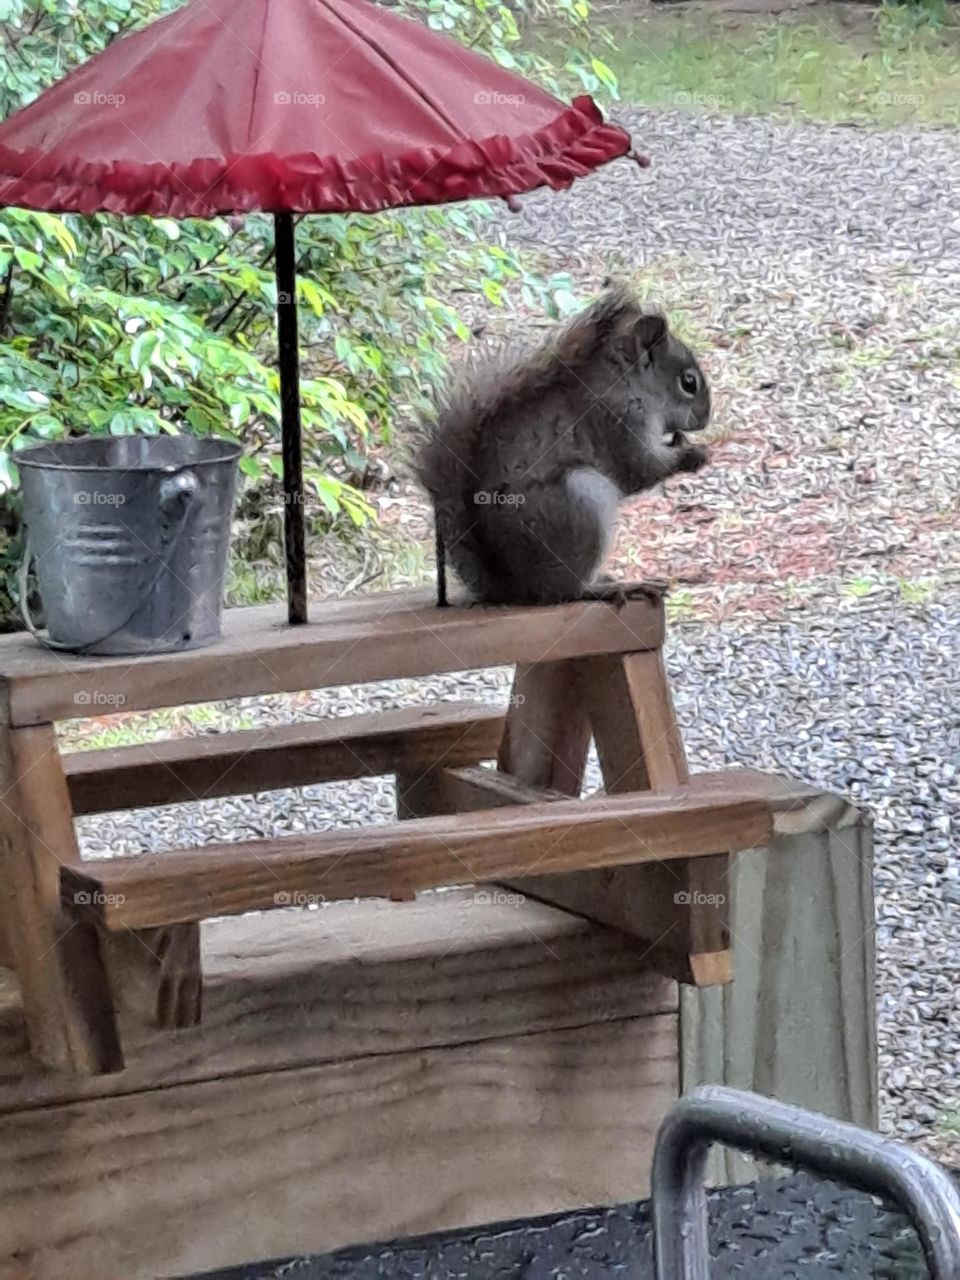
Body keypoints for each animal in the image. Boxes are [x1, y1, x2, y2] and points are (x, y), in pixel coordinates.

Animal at [415, 287, 711, 607]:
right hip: (581, 500)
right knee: (567, 592)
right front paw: (693, 454)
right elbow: (639, 470)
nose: (705, 418)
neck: (626, 382)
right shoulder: (615, 420)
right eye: (689, 382)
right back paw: (614, 587)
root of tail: (515, 589)